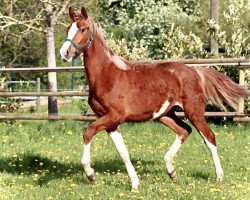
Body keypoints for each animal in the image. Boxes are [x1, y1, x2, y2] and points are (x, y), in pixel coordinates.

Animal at [59, 6, 249, 191]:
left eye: (82, 29)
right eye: (68, 29)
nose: (64, 52)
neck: (107, 76)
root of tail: (195, 72)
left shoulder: (114, 116)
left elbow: (88, 132)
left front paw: (90, 174)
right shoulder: (110, 122)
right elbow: (123, 152)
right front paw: (135, 184)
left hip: (194, 112)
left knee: (209, 137)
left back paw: (219, 176)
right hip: (165, 114)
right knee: (184, 131)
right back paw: (171, 170)